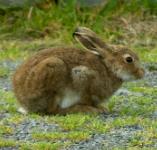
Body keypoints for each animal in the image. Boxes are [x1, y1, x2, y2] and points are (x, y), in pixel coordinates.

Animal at [12, 27, 145, 115]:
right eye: (129, 59)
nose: (142, 74)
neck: (109, 68)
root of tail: (23, 102)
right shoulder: (82, 75)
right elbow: (87, 99)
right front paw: (97, 109)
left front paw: (102, 108)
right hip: (54, 70)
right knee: (52, 110)